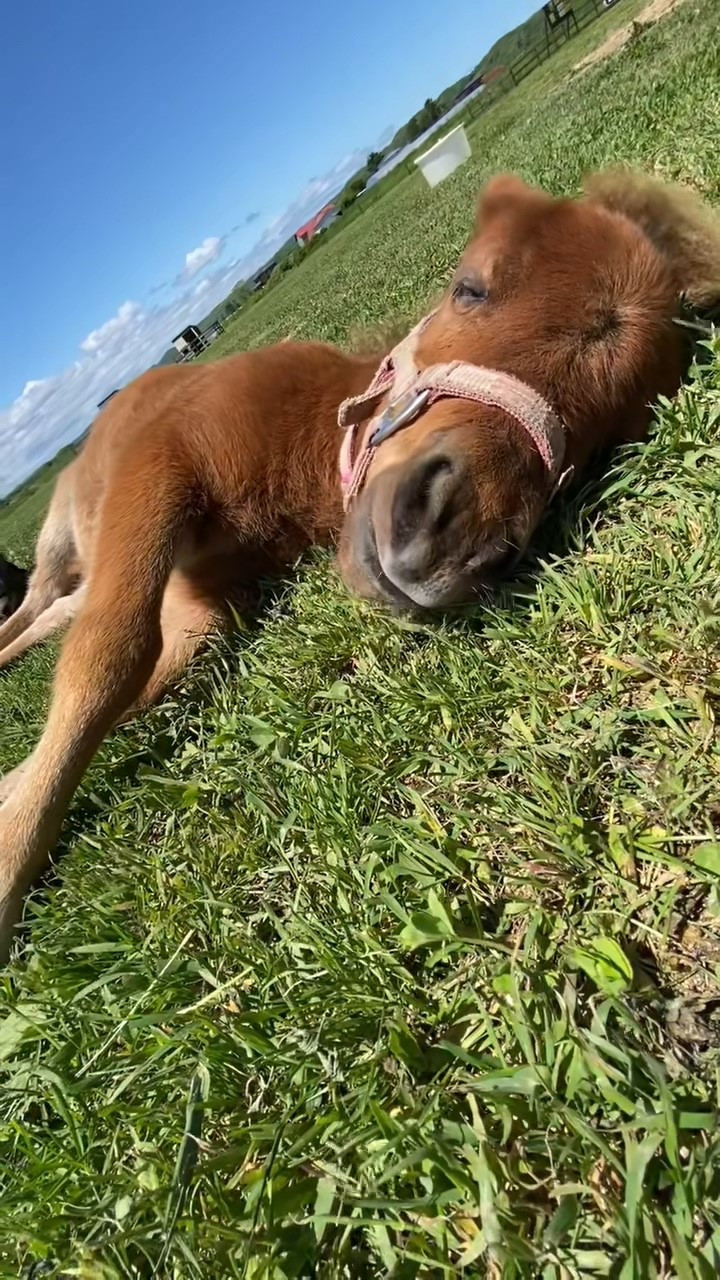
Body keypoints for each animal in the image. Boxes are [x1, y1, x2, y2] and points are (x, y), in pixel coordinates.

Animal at [1, 165, 717, 957]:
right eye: (470, 289)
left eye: (615, 430)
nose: (443, 535)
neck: (299, 464)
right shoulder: (161, 462)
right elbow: (108, 656)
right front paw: (9, 868)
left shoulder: (203, 603)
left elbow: (128, 676)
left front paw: (7, 796)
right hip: (61, 535)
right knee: (39, 604)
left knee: (57, 612)